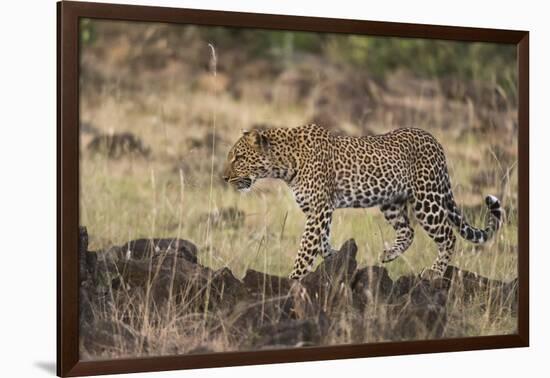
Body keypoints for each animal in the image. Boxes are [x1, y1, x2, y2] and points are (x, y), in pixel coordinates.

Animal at [222, 124, 502, 280]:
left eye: (239, 158)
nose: (224, 177)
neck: (284, 163)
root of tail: (435, 141)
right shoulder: (319, 210)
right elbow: (321, 242)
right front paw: (337, 257)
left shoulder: (319, 209)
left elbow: (306, 248)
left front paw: (294, 280)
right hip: (391, 201)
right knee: (408, 231)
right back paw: (389, 254)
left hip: (427, 199)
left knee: (448, 236)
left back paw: (435, 272)